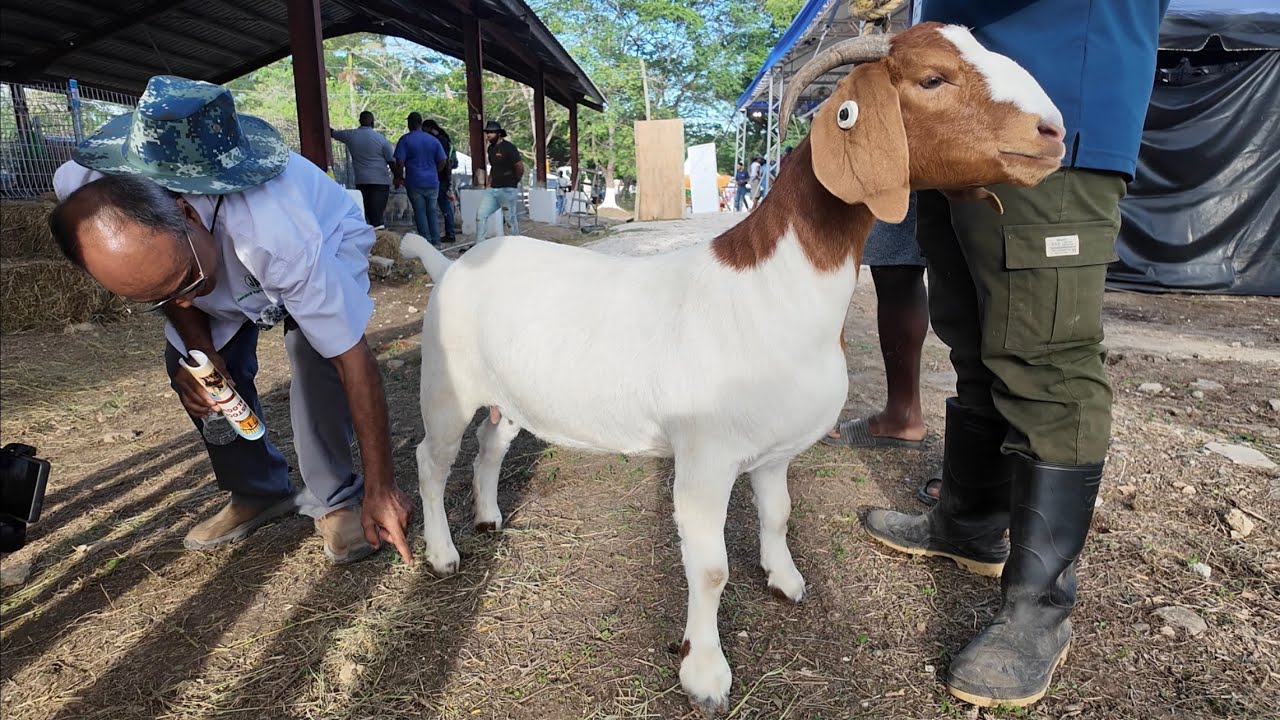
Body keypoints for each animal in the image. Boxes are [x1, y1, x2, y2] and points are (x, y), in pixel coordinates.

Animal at [398, 22, 1066, 715]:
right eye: (932, 78)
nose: (1054, 133)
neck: (772, 286)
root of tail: (450, 266)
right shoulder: (705, 458)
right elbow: (711, 566)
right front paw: (706, 674)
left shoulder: (773, 453)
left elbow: (779, 515)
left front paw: (786, 580)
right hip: (446, 388)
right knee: (431, 459)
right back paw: (443, 553)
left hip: (509, 395)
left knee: (490, 443)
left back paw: (488, 516)